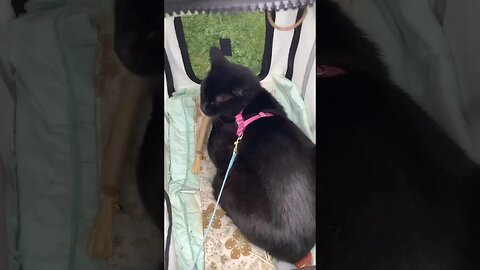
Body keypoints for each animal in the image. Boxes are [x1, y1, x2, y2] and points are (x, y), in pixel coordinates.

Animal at [199, 47, 316, 264]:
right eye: (203, 90)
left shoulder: (219, 149)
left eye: (215, 101)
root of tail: (299, 252)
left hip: (231, 178)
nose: (202, 106)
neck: (249, 108)